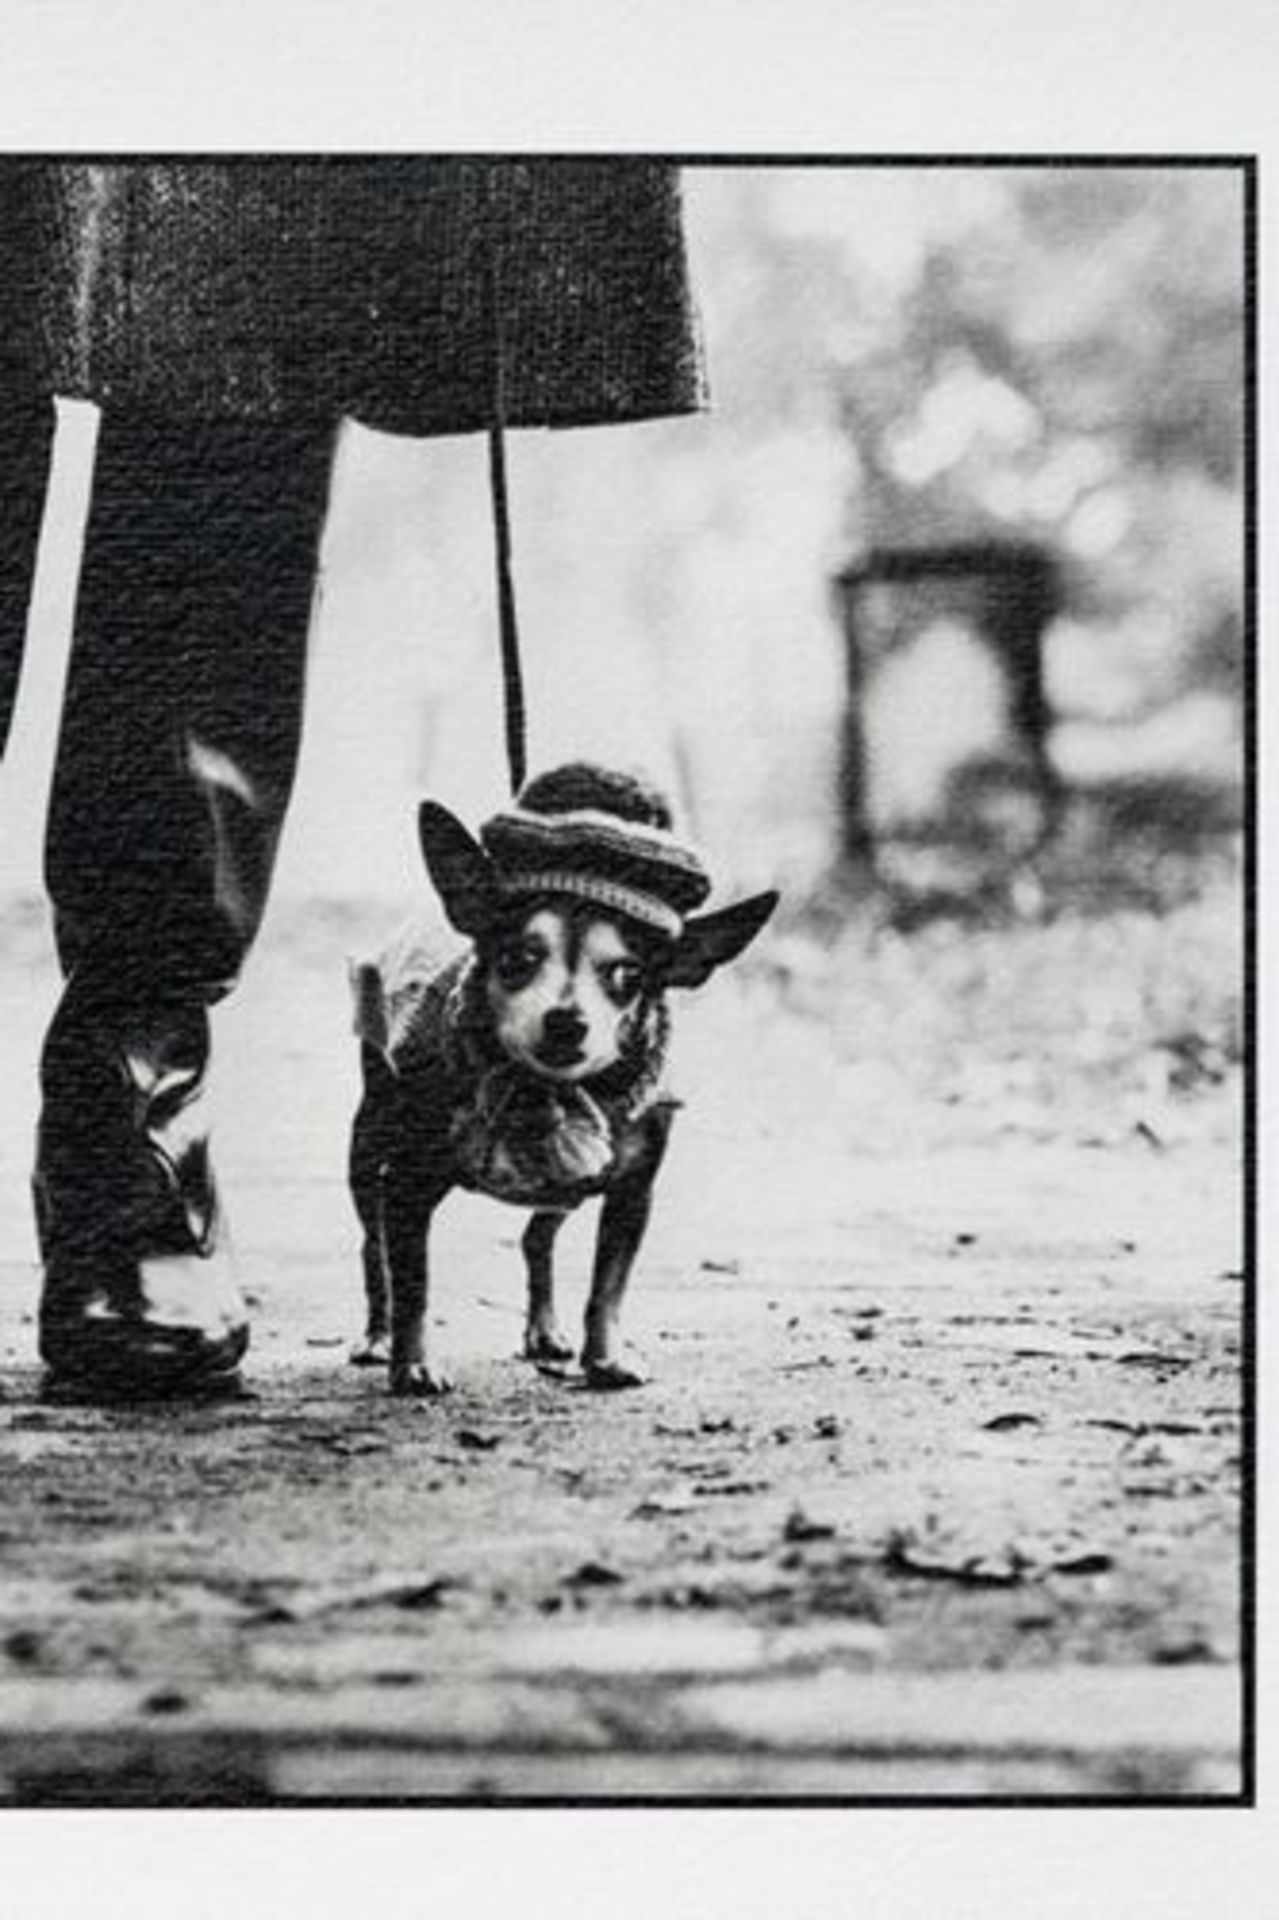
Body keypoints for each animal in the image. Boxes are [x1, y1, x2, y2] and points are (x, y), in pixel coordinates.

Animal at [343, 760, 772, 1397]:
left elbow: (607, 1288)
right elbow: (413, 1282)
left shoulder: (630, 1194)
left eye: (628, 976)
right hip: (367, 1148)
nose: (567, 1020)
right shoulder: (407, 1186)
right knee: (374, 1247)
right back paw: (376, 1335)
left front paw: (606, 1358)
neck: (543, 1090)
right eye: (516, 958)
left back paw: (543, 1331)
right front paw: (413, 1364)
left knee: (536, 1238)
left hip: (565, 1189)